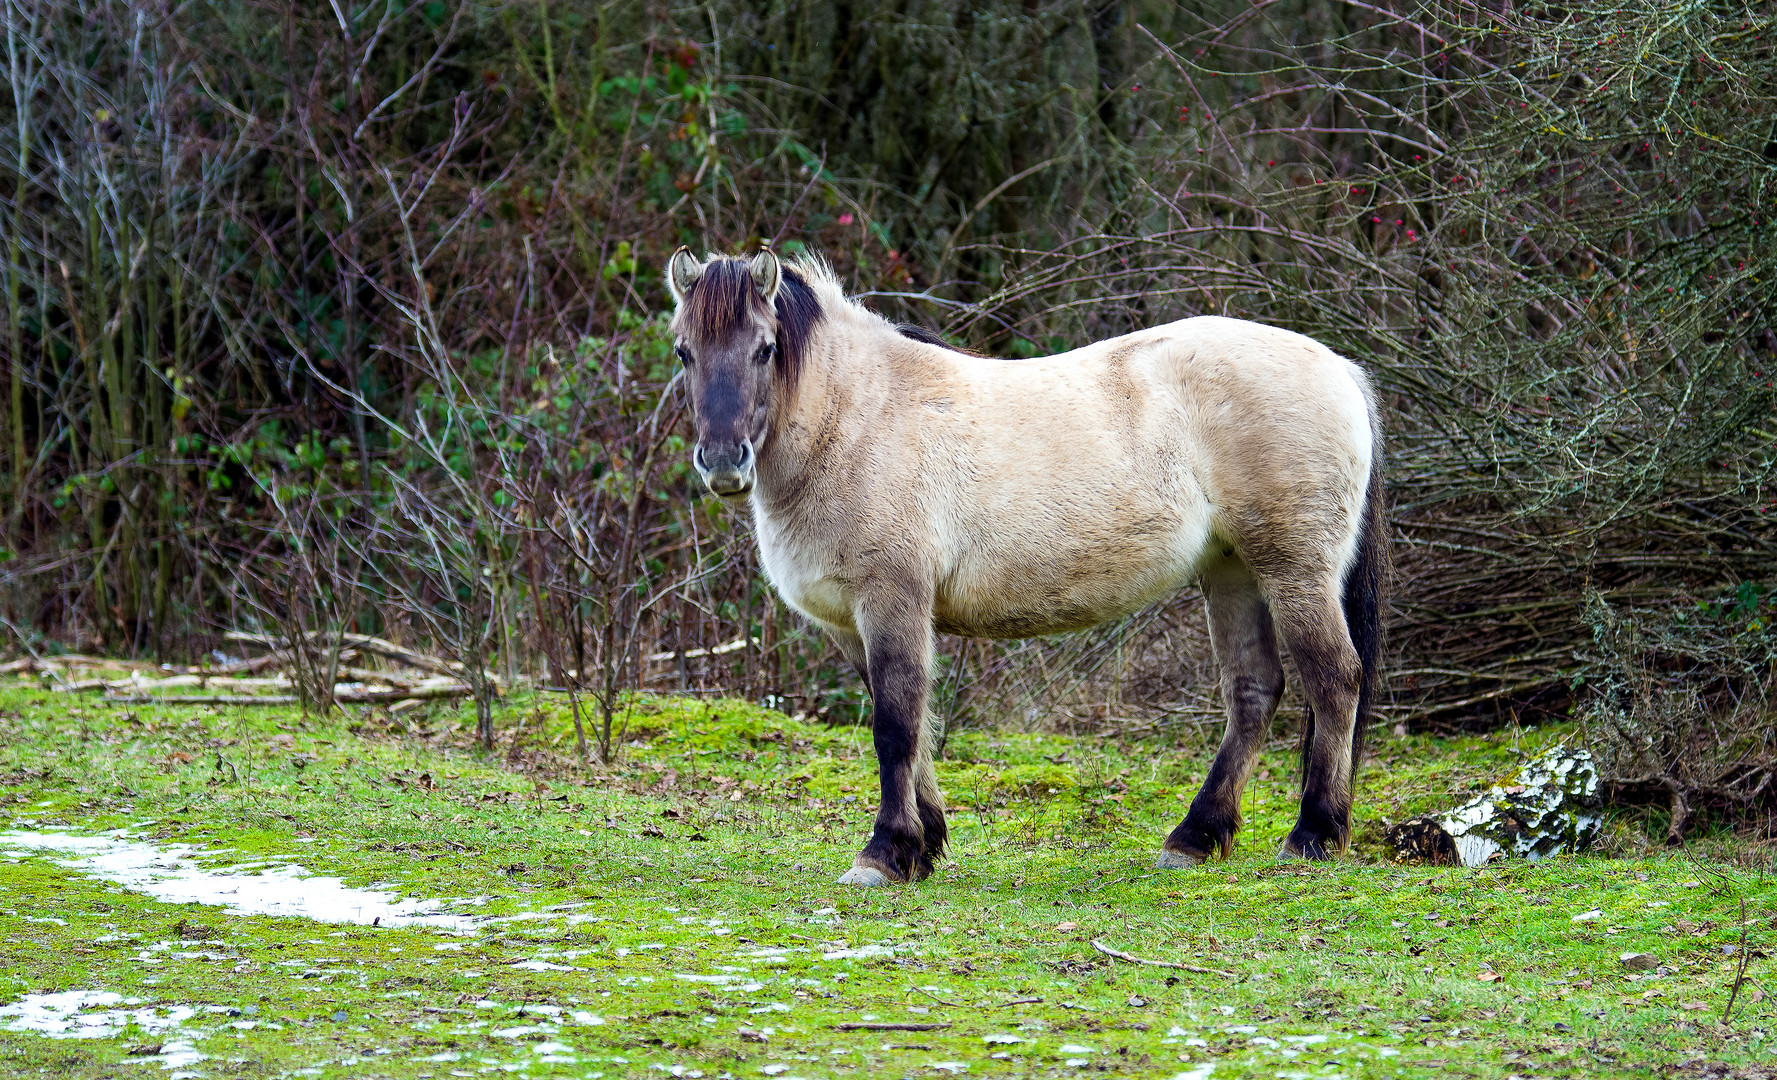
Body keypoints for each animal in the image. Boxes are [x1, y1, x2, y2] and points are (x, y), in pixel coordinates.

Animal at [668, 246, 1386, 884]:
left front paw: (885, 854)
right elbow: (913, 722)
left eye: (764, 348)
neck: (854, 421)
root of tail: (1338, 368)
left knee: (1333, 678)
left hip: (1293, 570)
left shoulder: (891, 601)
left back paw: (1312, 834)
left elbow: (895, 725)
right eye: (684, 351)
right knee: (1253, 690)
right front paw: (925, 845)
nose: (724, 462)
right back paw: (1195, 837)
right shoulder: (851, 623)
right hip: (1232, 569)